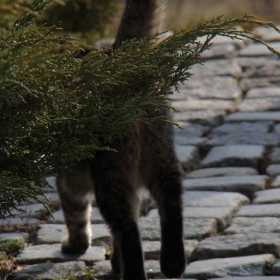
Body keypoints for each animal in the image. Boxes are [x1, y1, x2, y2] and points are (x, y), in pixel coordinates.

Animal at [55, 1, 185, 278]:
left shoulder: (68, 178)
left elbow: (76, 215)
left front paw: (75, 246)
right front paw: (116, 262)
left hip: (110, 177)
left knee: (128, 231)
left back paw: (137, 272)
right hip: (161, 157)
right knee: (171, 202)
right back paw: (172, 262)